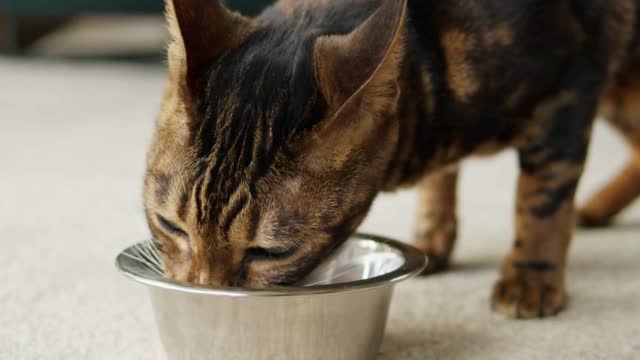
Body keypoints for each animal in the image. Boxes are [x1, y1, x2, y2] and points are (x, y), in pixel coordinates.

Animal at [145, 0, 640, 318]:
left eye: (272, 252)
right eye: (170, 225)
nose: (204, 290)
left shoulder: (568, 93)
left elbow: (541, 204)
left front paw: (531, 278)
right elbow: (441, 182)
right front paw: (432, 238)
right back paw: (597, 207)